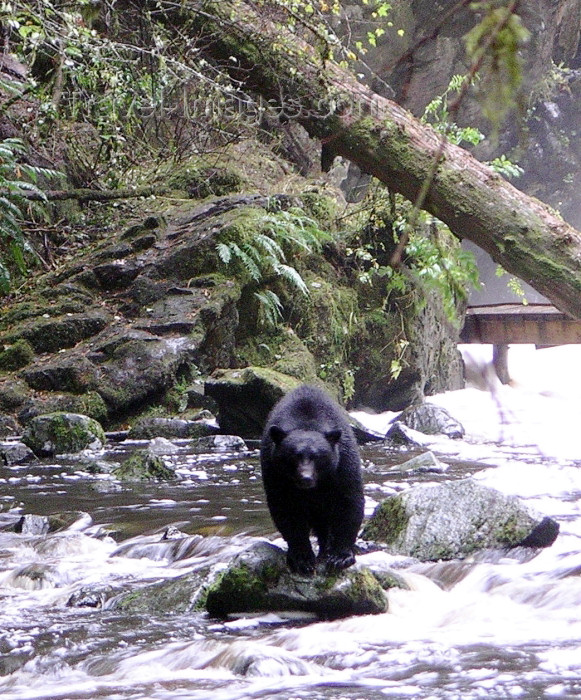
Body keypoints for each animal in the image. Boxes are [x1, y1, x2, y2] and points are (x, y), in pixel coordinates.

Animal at [260, 386, 362, 576]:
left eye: (317, 456)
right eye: (294, 455)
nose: (305, 478)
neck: (307, 421)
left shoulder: (343, 464)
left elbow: (349, 502)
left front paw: (340, 556)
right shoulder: (275, 472)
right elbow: (286, 509)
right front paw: (302, 559)